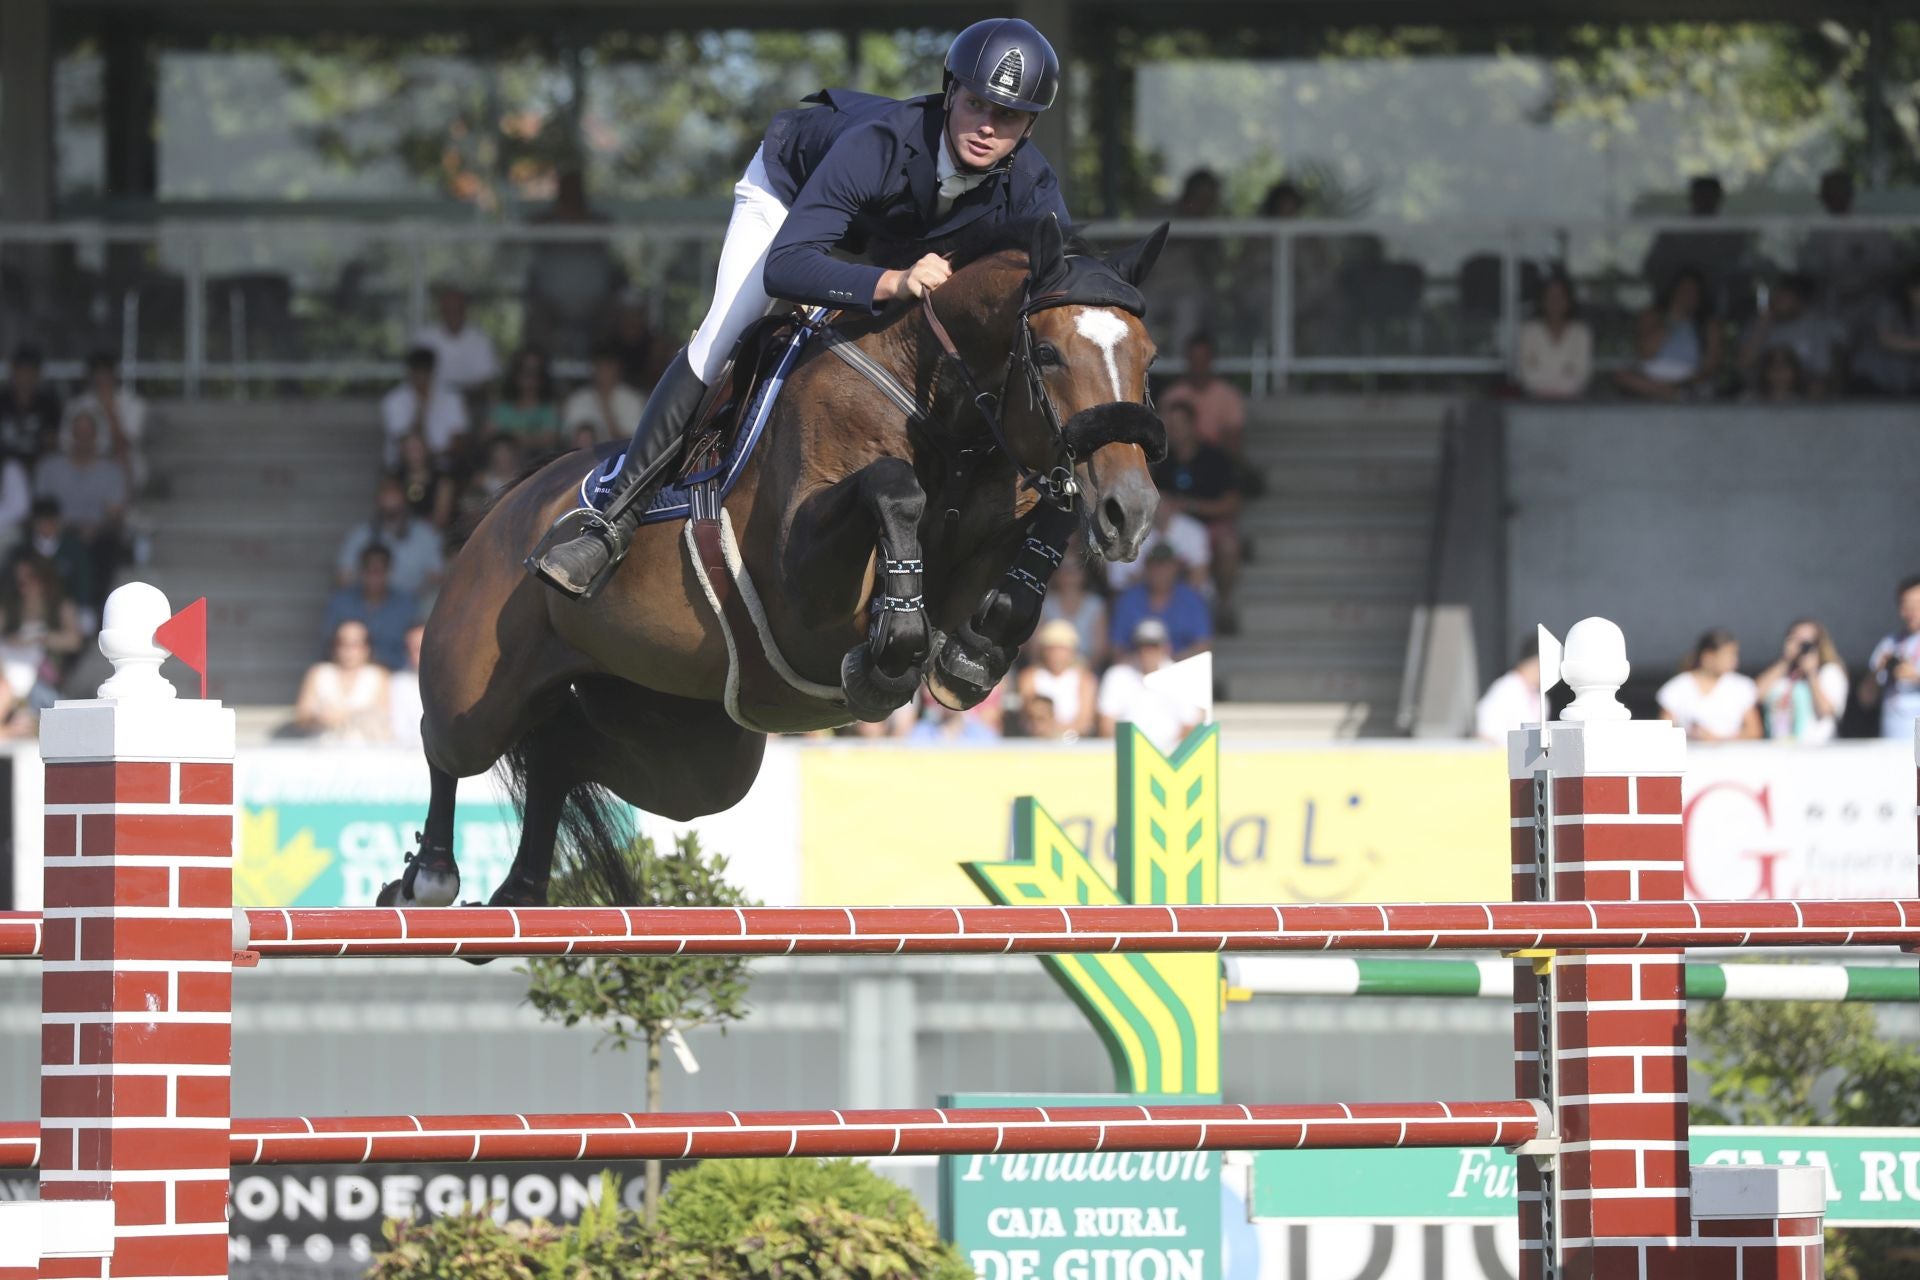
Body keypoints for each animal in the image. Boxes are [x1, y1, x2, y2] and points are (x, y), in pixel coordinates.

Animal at [380, 213, 1167, 909]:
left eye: (1150, 357)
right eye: (1049, 354)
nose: (1131, 510)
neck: (934, 399)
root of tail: (500, 509)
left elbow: (1044, 522)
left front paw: (972, 655)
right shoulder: (803, 590)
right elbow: (894, 488)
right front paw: (892, 650)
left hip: (686, 747)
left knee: (561, 757)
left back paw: (520, 891)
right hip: (476, 687)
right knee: (446, 745)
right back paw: (428, 879)